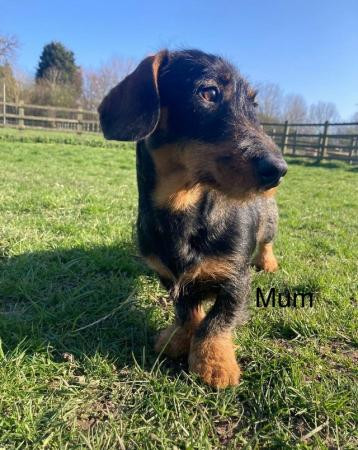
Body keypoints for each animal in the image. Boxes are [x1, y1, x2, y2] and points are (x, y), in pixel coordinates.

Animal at [98, 48, 288, 386]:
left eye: (253, 104)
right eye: (209, 92)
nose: (278, 170)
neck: (182, 208)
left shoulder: (237, 280)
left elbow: (218, 320)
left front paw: (214, 362)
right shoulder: (169, 277)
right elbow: (187, 310)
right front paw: (178, 338)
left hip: (269, 224)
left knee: (266, 243)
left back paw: (268, 261)